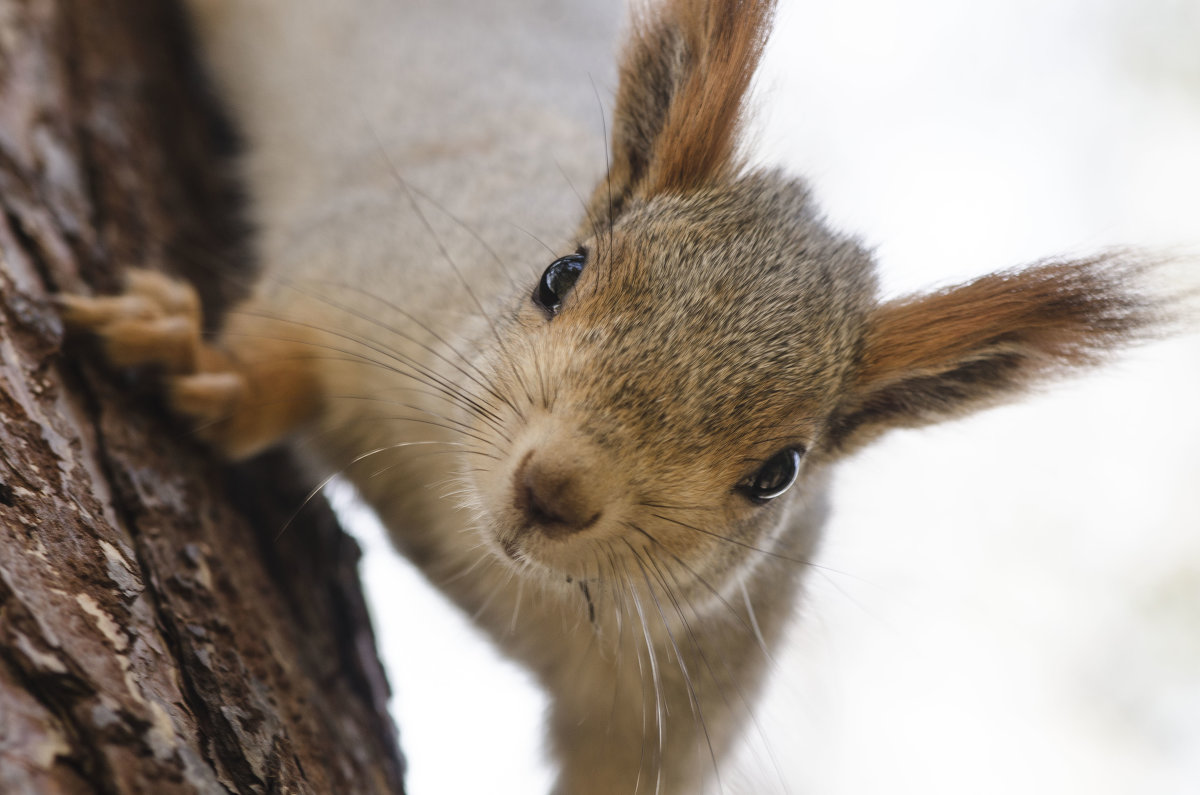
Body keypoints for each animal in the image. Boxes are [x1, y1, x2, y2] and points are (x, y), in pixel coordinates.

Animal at [56, 1, 1171, 795]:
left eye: (779, 473)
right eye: (559, 275)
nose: (554, 489)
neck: (486, 558)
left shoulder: (679, 703)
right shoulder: (368, 261)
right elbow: (283, 343)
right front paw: (194, 360)